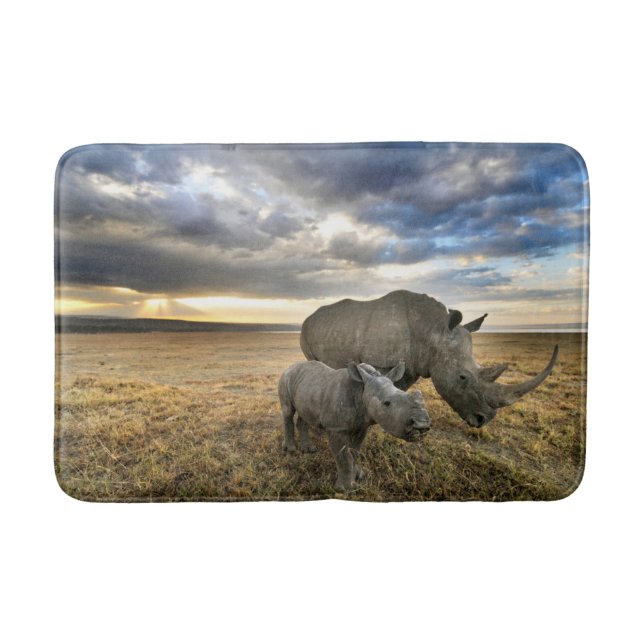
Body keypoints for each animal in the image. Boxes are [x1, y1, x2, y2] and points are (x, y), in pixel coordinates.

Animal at [278, 360, 431, 491]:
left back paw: (309, 450)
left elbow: (355, 451)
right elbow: (344, 457)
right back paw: (290, 450)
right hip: (285, 378)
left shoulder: (362, 426)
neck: (362, 389)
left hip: (307, 386)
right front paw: (347, 488)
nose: (422, 424)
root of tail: (291, 367)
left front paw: (359, 476)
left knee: (304, 414)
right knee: (288, 411)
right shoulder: (336, 428)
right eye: (386, 403)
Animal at [300, 290, 558, 428]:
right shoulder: (380, 361)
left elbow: (398, 391)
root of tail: (309, 316)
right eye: (462, 377)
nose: (483, 420)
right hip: (306, 329)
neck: (432, 331)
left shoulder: (413, 364)